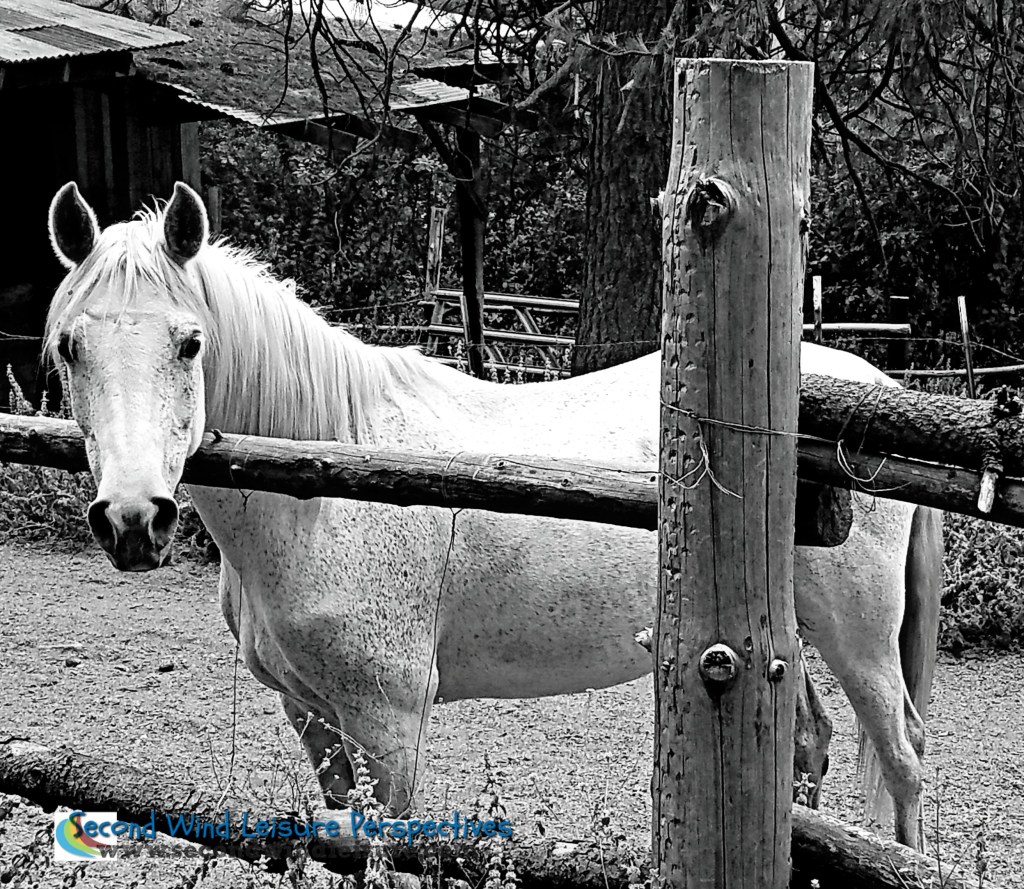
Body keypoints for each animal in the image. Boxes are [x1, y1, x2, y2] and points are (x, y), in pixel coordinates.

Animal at [43, 181, 943, 850]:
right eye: (68, 349)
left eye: (190, 343)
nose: (134, 519)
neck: (323, 493)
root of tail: (877, 392)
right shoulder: (315, 717)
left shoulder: (389, 723)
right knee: (810, 742)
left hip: (858, 637)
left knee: (902, 758)